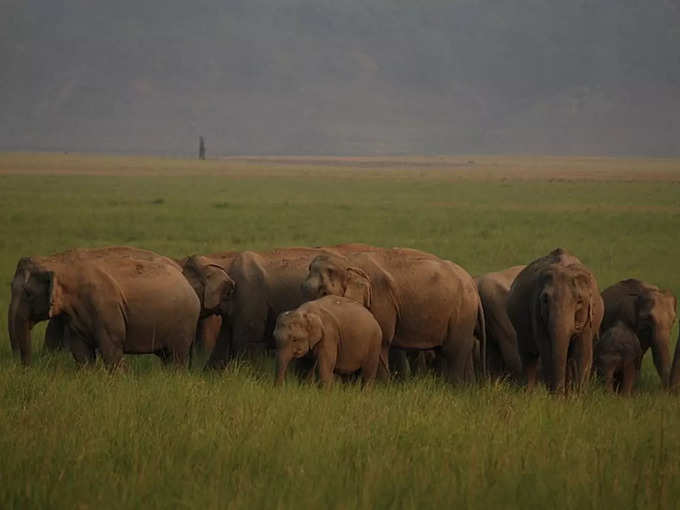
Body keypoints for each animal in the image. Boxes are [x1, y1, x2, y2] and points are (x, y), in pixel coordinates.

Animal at [5, 246, 226, 368]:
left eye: (28, 294)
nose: (25, 368)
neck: (59, 262)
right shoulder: (74, 315)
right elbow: (81, 351)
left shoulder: (105, 306)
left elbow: (111, 347)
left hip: (184, 321)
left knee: (176, 356)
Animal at [302, 247, 484, 382]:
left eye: (325, 293)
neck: (348, 261)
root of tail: (473, 285)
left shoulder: (382, 300)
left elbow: (382, 339)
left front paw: (380, 387)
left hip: (462, 313)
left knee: (454, 351)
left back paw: (455, 388)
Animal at [504, 248, 604, 394]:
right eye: (545, 300)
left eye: (579, 301)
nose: (559, 392)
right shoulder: (536, 310)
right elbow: (546, 348)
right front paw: (556, 396)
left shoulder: (588, 318)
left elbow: (582, 352)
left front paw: (578, 396)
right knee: (528, 356)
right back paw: (527, 393)